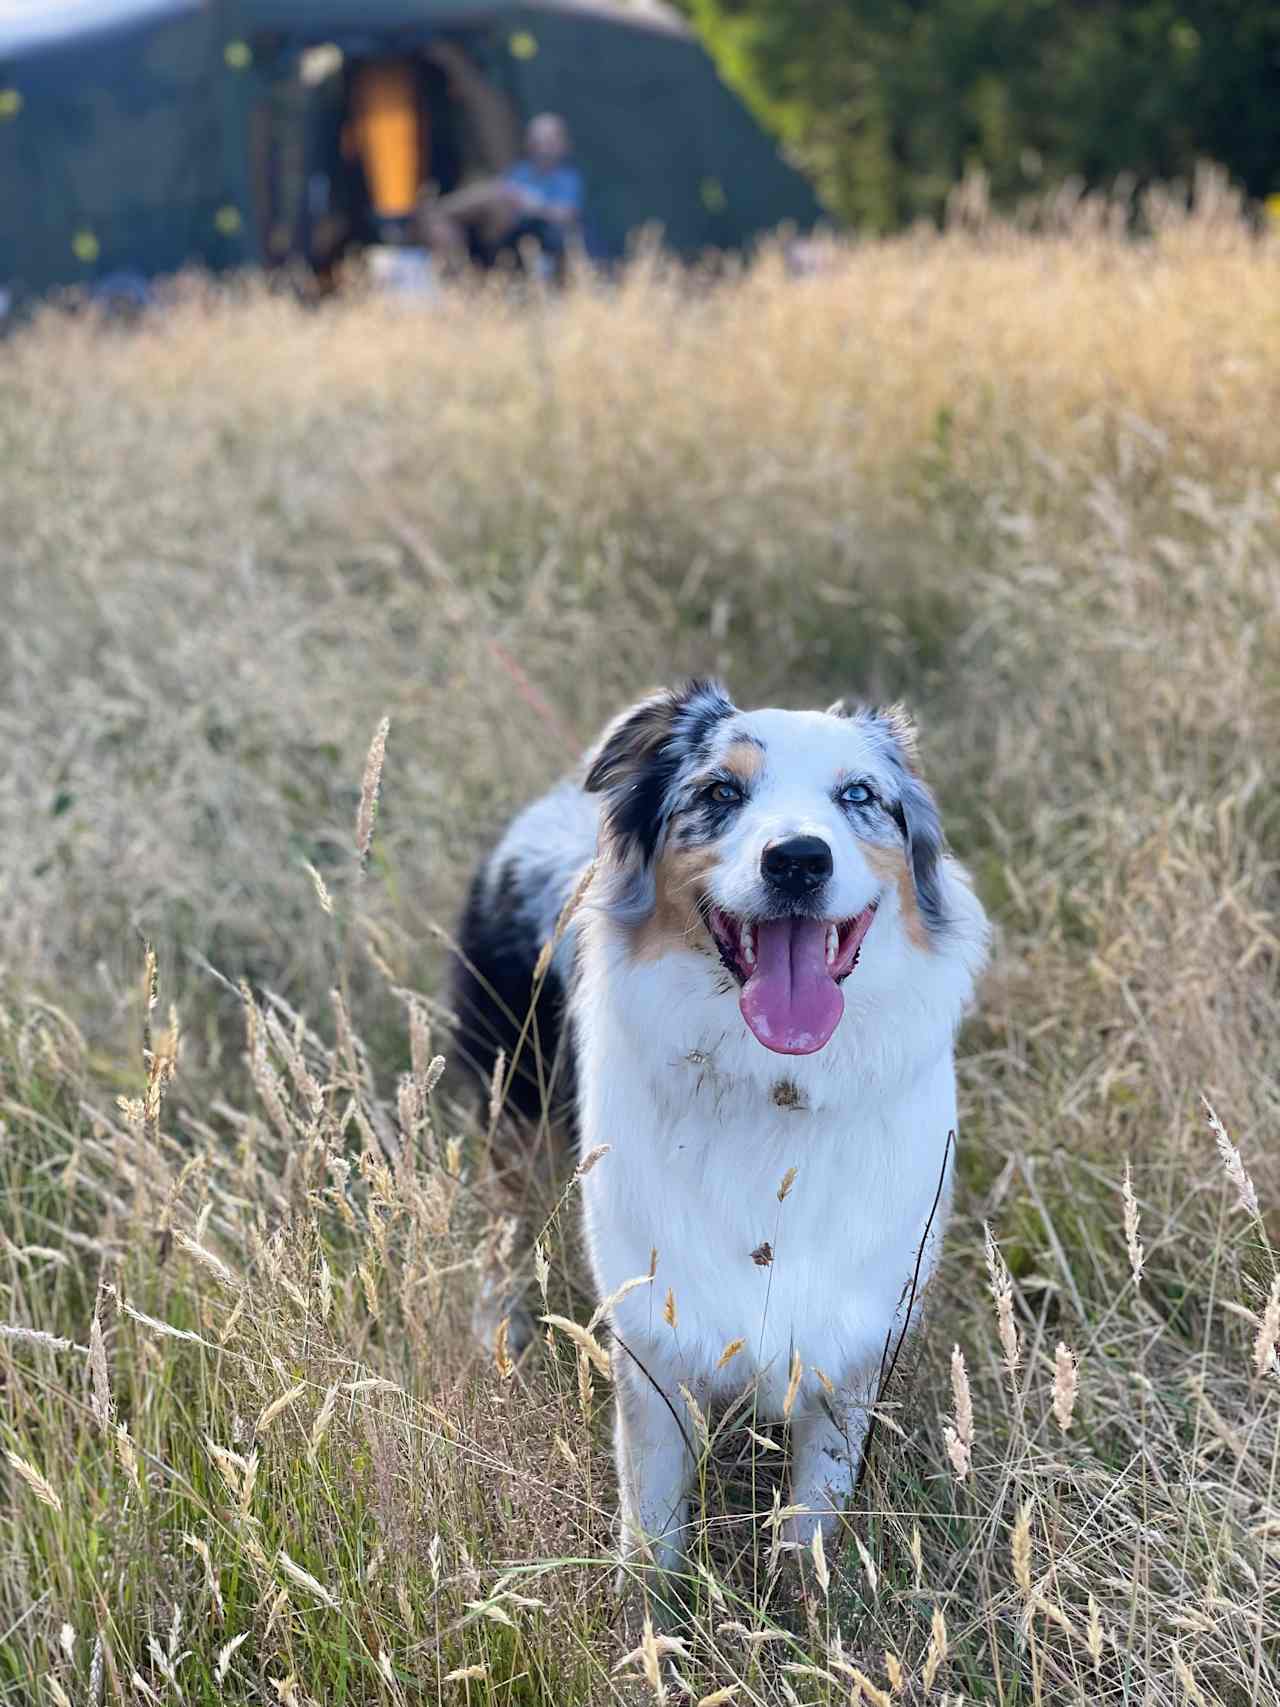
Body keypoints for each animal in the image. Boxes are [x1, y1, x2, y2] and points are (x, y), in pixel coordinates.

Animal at [457, 675, 996, 1570]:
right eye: (719, 792)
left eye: (859, 795)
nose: (799, 859)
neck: (772, 1084)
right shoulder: (652, 1338)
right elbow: (652, 1524)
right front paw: (648, 1604)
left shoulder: (853, 1341)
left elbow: (814, 1516)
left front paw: (808, 1594)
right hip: (508, 1102)